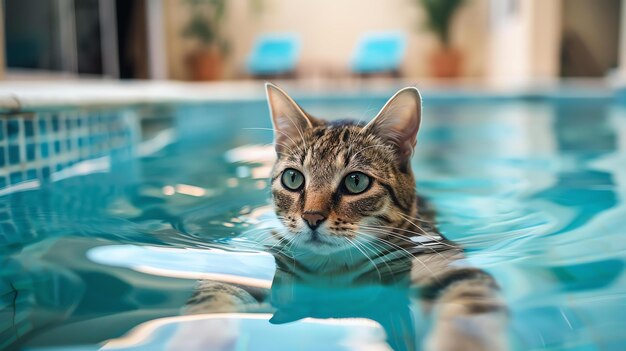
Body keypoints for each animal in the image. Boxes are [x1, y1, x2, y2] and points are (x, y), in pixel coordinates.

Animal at [180, 84, 508, 351]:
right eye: (292, 178)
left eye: (356, 182)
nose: (311, 217)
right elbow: (212, 296)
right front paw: (199, 338)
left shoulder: (440, 258)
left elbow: (470, 309)